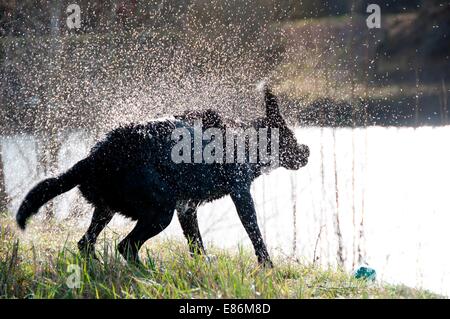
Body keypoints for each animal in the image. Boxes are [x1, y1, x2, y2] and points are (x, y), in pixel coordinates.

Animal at [14, 87, 310, 268]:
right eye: (290, 137)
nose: (307, 151)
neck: (246, 141)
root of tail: (93, 158)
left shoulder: (187, 208)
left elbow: (196, 243)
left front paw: (203, 266)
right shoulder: (240, 195)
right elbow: (255, 233)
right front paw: (267, 266)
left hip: (107, 208)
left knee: (86, 243)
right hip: (159, 210)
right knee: (126, 246)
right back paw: (147, 273)